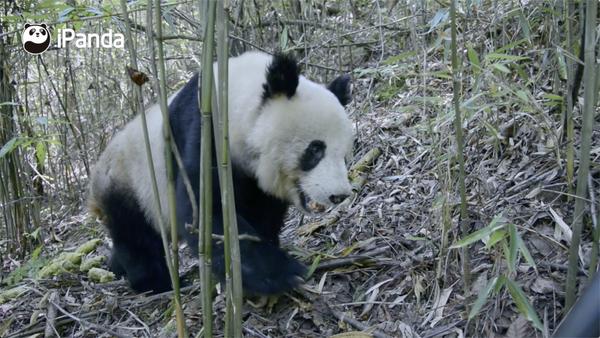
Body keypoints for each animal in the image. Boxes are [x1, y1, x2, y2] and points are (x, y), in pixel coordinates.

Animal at [86, 50, 354, 296]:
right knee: (137, 238)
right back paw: (155, 284)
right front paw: (281, 274)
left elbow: (263, 210)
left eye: (343, 154)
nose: (339, 195)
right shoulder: (203, 133)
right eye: (316, 150)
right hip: (129, 185)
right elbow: (208, 212)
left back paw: (116, 268)